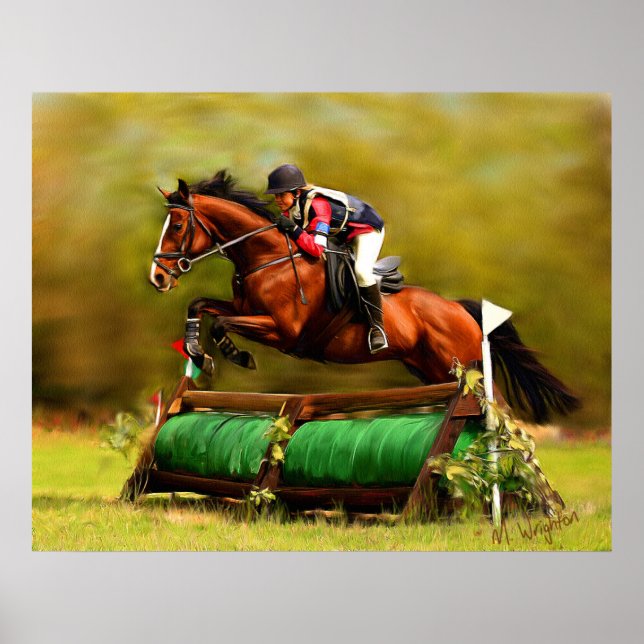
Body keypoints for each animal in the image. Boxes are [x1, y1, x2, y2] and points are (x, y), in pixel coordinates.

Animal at [149, 170, 580, 424]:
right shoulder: (244, 308)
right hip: (431, 369)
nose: (157, 277)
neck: (265, 257)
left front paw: (231, 356)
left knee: (497, 404)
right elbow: (200, 305)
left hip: (460, 363)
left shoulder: (282, 330)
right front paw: (196, 352)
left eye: (179, 225)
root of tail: (458, 309)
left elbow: (222, 322)